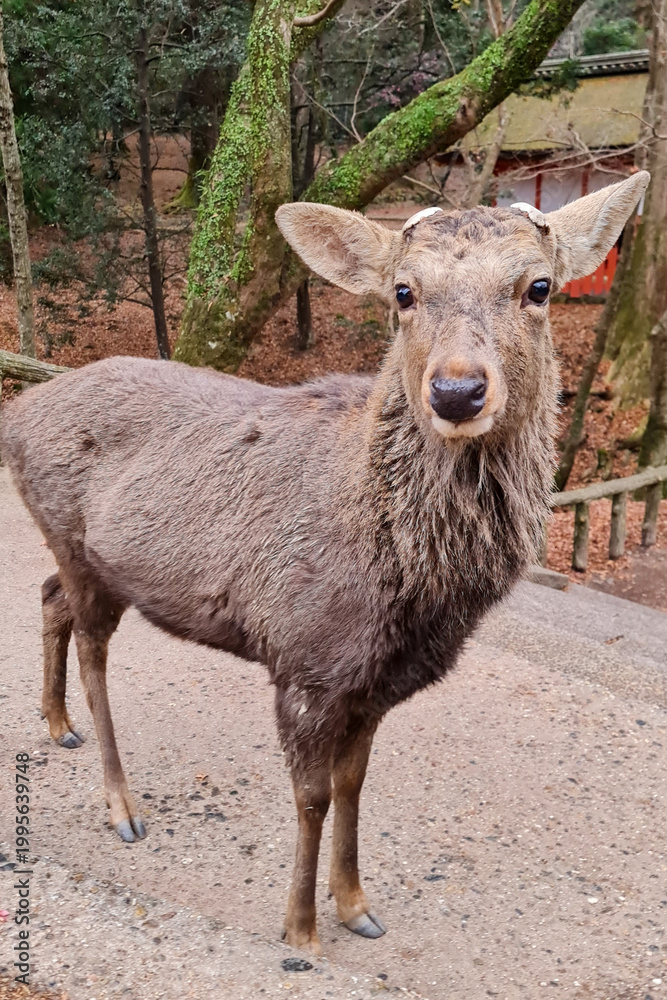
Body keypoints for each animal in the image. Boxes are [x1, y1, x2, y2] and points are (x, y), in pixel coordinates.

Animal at [0, 171, 648, 954]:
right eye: (403, 292)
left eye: (540, 287)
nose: (457, 390)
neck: (410, 594)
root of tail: (16, 411)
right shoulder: (303, 660)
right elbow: (310, 797)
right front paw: (301, 928)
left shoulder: (373, 683)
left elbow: (353, 786)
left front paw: (356, 905)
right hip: (74, 540)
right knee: (93, 649)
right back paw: (120, 803)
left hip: (89, 560)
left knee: (47, 596)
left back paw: (56, 722)